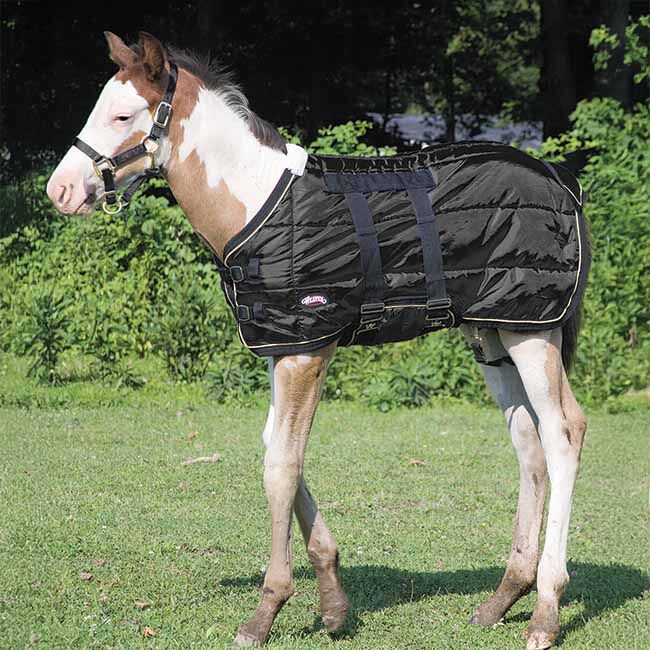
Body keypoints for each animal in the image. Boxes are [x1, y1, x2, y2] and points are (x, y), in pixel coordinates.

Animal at [46, 32, 589, 650]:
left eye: (123, 114)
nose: (60, 190)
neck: (256, 200)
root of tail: (561, 180)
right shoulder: (281, 347)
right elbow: (277, 449)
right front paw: (332, 605)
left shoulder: (307, 350)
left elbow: (281, 465)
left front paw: (266, 611)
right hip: (492, 334)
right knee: (527, 441)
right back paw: (502, 598)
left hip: (532, 332)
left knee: (563, 433)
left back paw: (546, 610)